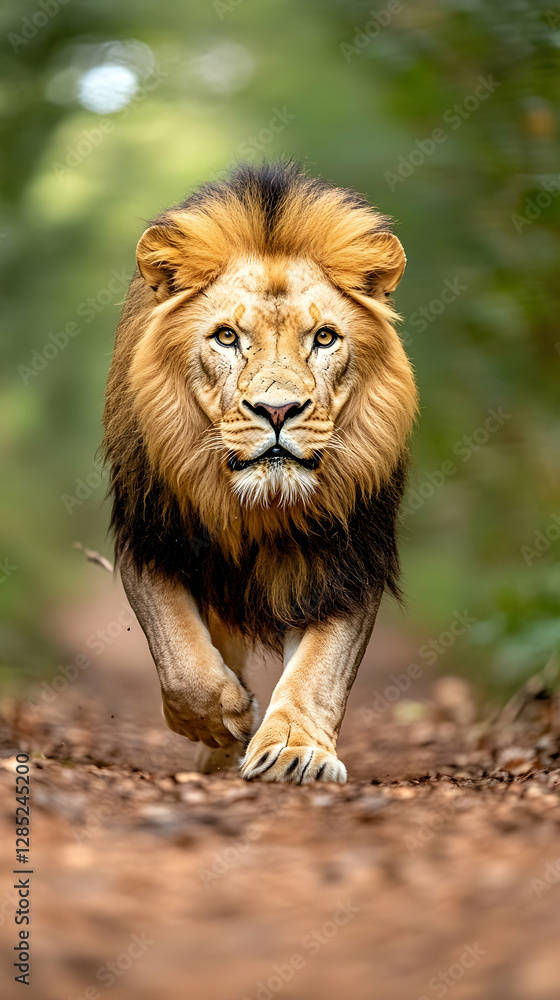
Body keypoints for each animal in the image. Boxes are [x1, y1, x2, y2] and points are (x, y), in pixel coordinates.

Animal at [103, 161, 417, 783]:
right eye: (227, 336)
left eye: (324, 337)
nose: (277, 410)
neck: (262, 507)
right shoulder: (151, 536)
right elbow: (179, 653)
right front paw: (222, 720)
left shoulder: (349, 556)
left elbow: (321, 669)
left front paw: (294, 750)